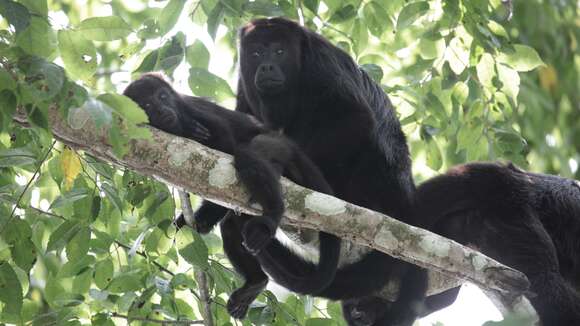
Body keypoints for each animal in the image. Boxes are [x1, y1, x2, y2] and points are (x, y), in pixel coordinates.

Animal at [193, 18, 428, 326]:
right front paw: (210, 210)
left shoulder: (321, 66)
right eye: (256, 53)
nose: (266, 66)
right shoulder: (245, 84)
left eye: (279, 51)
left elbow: (355, 118)